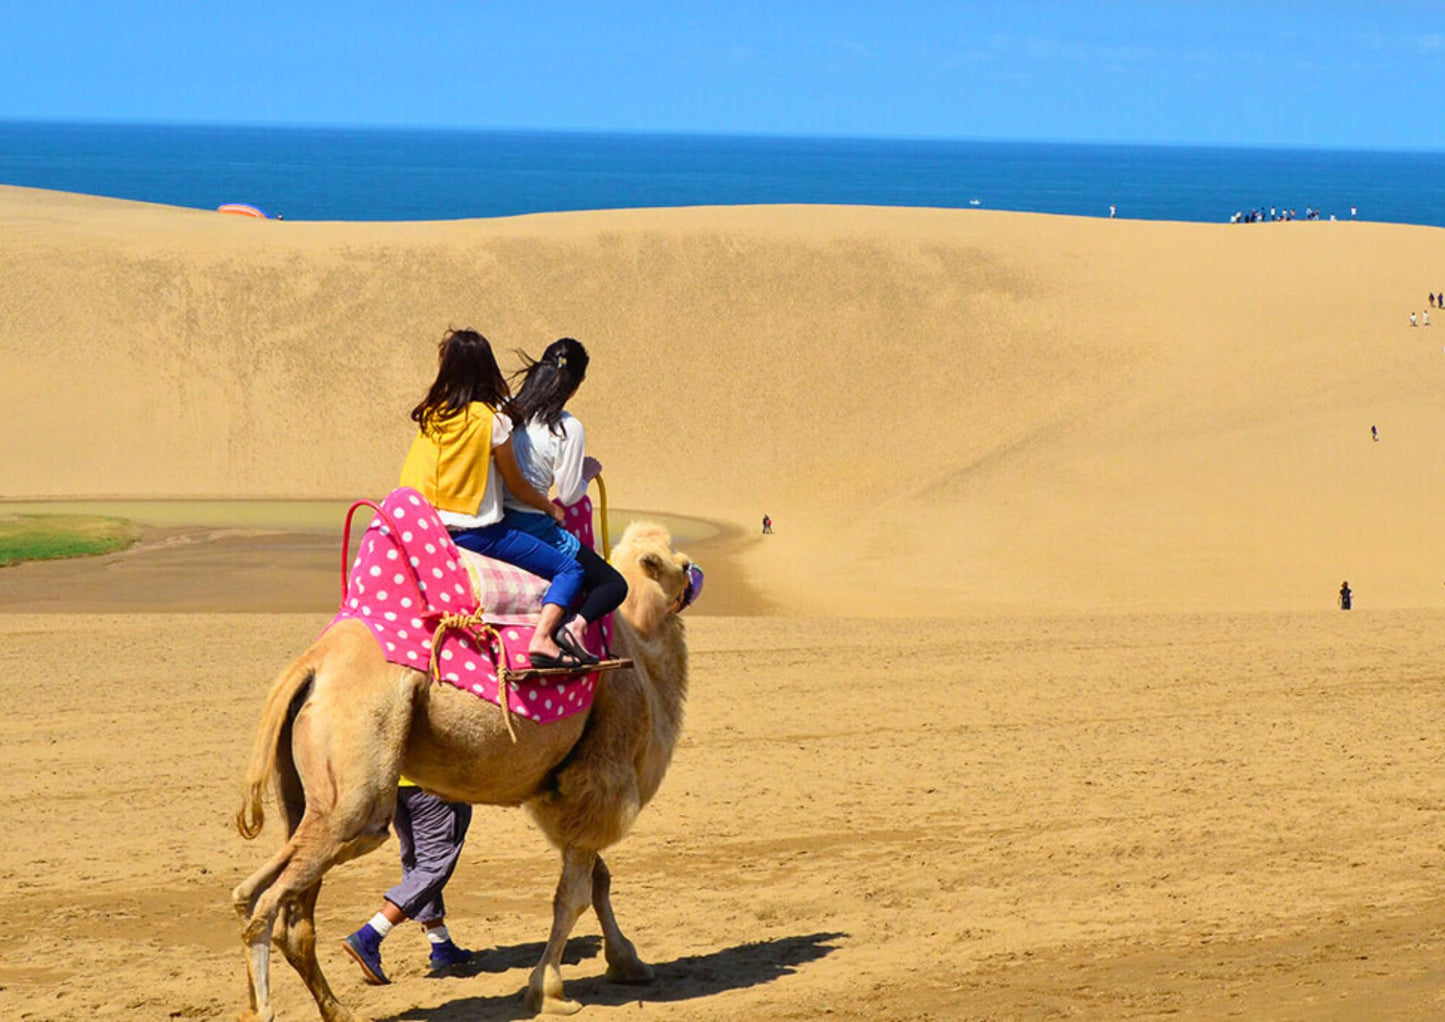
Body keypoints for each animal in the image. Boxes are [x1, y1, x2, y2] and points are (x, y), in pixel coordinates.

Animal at [231, 523, 693, 1017]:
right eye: (680, 564)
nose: (693, 573)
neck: (638, 645)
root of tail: (312, 664)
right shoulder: (600, 778)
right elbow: (573, 897)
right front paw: (550, 991)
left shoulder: (569, 797)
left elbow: (599, 881)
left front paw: (629, 964)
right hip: (356, 787)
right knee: (272, 901)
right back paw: (267, 1009)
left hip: (309, 796)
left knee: (271, 904)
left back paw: (333, 1009)